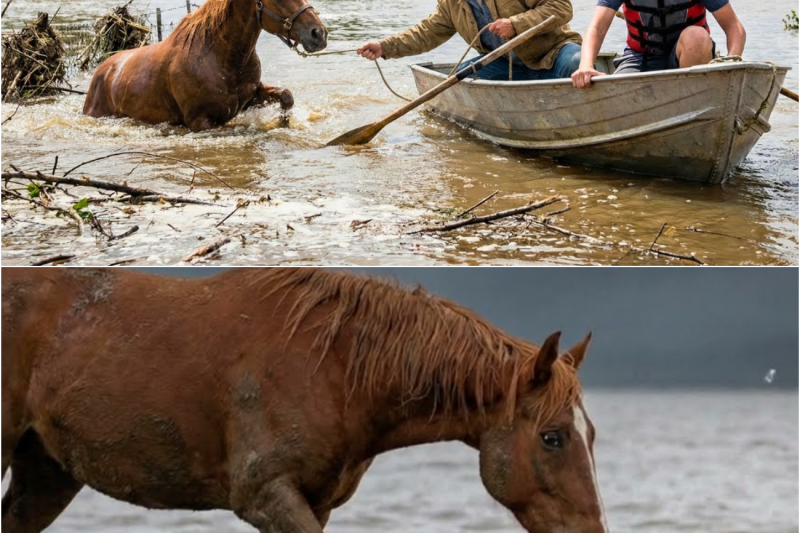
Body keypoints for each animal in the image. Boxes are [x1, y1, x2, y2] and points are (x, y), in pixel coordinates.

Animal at [1, 268, 608, 533]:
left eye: (592, 435)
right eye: (553, 437)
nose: (594, 531)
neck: (335, 367)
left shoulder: (315, 502)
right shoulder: (266, 495)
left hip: (48, 472)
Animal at [82, 0, 327, 132]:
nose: (319, 33)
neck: (219, 56)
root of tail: (102, 71)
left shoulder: (250, 98)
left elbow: (286, 96)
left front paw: (283, 123)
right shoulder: (201, 121)